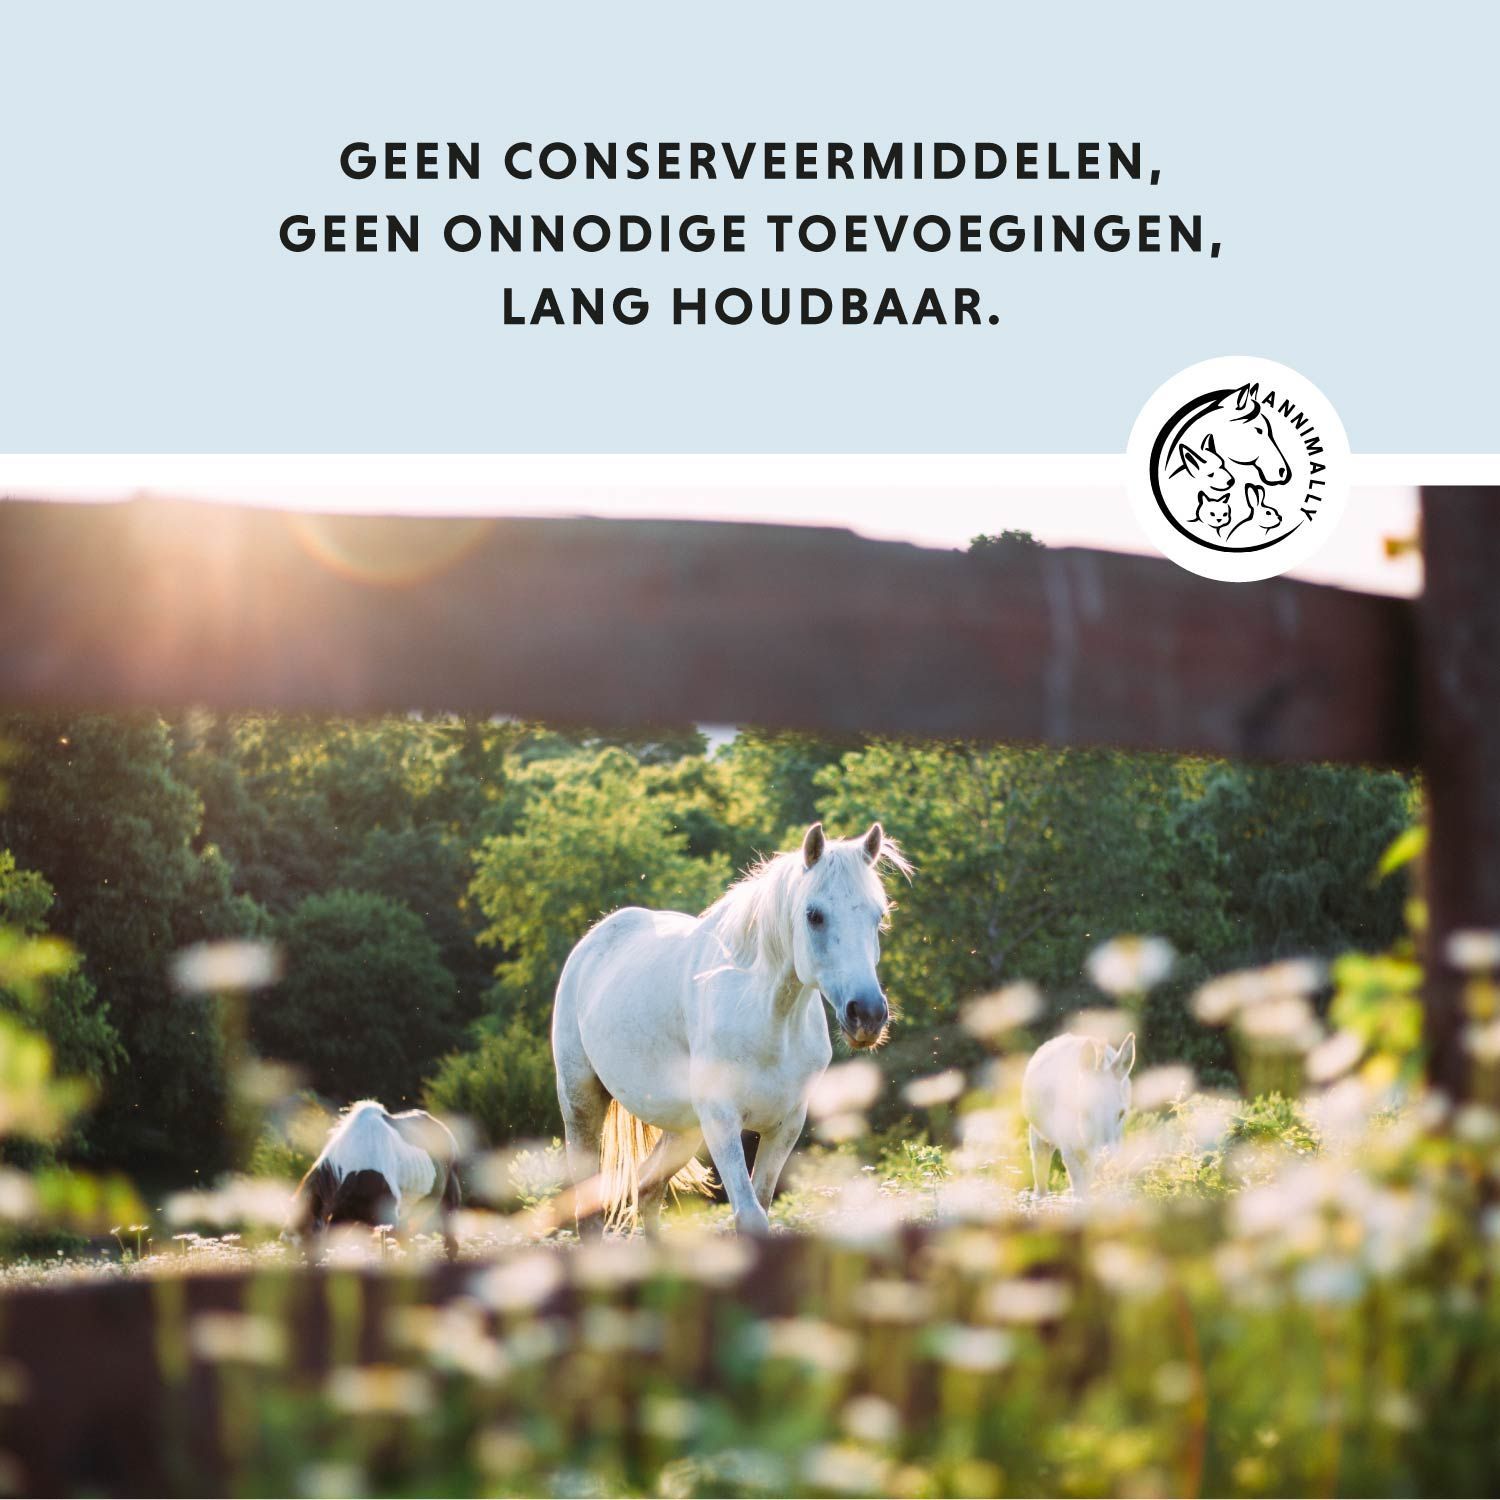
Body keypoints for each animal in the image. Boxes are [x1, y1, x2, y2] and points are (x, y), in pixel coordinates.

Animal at [552, 820, 910, 1237]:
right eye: (814, 915)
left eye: (877, 916)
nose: (867, 1014)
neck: (768, 1023)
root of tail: (592, 941)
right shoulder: (722, 1121)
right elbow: (750, 1215)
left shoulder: (785, 1125)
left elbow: (762, 1203)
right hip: (581, 1103)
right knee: (590, 1207)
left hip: (684, 1129)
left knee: (649, 1188)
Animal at [1022, 1032, 1136, 1198]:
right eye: (1084, 1111)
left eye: (1121, 1113)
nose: (1106, 1164)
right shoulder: (1070, 1153)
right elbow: (1080, 1197)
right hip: (1040, 1138)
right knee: (1040, 1186)